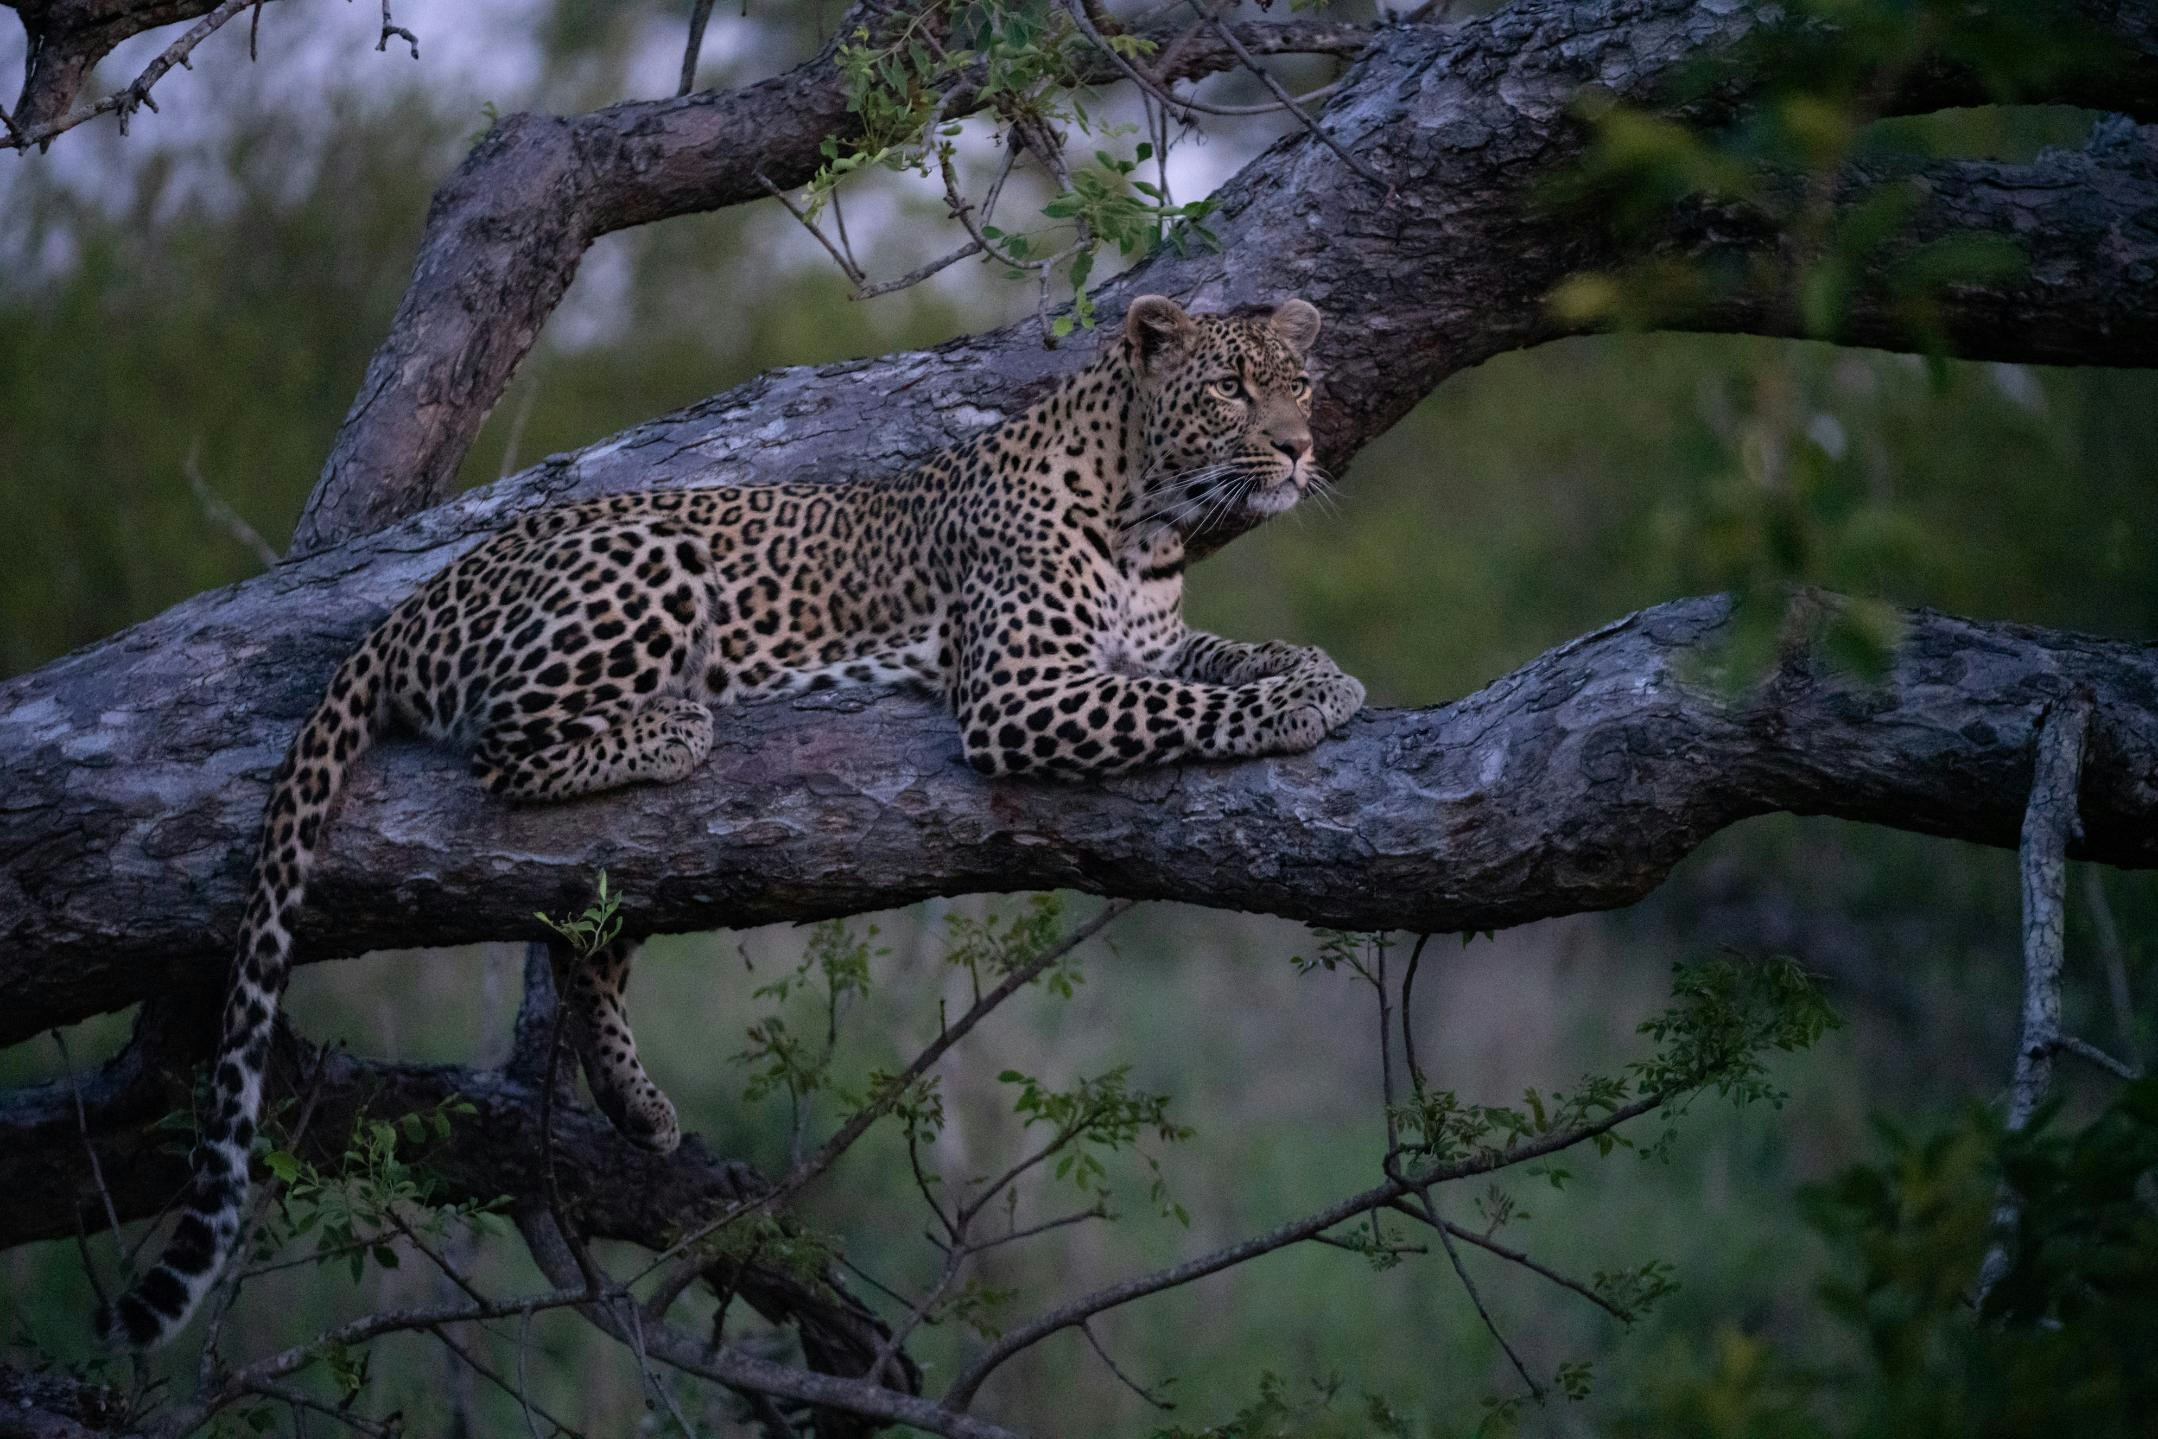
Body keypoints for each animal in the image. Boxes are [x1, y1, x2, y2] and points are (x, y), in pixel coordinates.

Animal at [101, 293, 1365, 1348]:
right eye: (1229, 389)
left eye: (1298, 384)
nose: (1300, 450)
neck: (1148, 513)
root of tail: (416, 596)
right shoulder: (1022, 694)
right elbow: (1182, 708)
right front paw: (1298, 701)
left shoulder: (1142, 645)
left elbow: (1213, 660)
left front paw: (1313, 666)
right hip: (649, 562)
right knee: (507, 750)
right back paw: (674, 725)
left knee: (590, 946)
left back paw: (637, 1102)